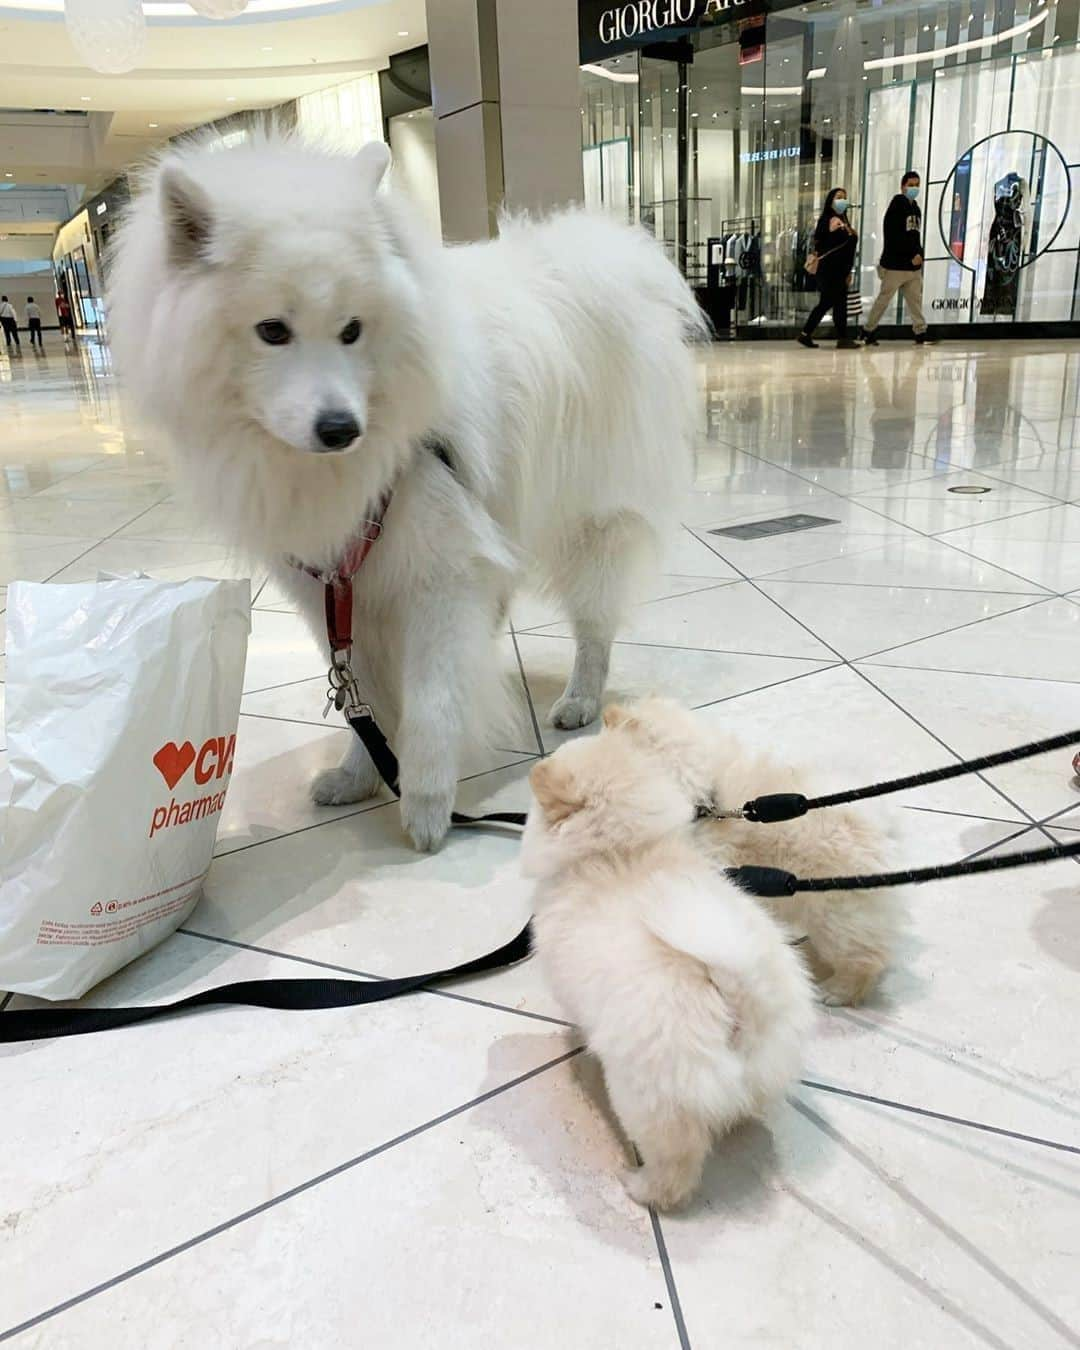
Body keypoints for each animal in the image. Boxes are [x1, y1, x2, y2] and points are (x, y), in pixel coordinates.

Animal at [107, 142, 702, 847]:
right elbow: (362, 696)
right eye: (272, 330)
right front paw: (359, 772)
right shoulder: (336, 588)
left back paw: (580, 699)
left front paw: (424, 805)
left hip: (594, 522)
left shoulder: (439, 573)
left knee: (594, 625)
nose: (341, 428)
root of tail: (603, 259)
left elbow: (430, 701)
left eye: (352, 330)